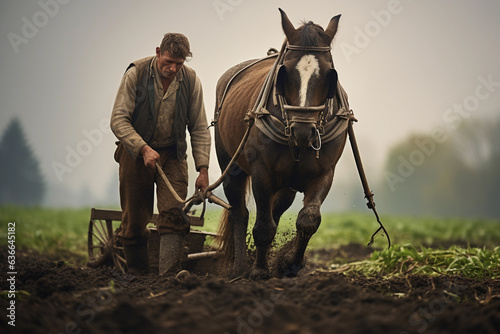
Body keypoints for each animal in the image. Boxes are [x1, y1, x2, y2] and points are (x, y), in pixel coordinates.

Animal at [215, 8, 352, 280]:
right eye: (285, 71)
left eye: (329, 73)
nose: (303, 129)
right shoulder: (261, 171)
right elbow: (262, 226)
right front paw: (258, 271)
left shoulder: (325, 172)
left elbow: (308, 219)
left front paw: (290, 263)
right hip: (230, 165)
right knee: (240, 213)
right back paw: (240, 267)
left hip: (287, 183)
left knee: (276, 211)